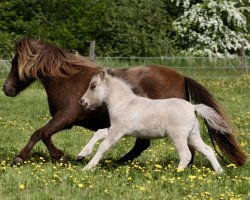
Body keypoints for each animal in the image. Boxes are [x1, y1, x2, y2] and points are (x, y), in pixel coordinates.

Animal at [1, 38, 246, 166]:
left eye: (14, 62)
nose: (6, 89)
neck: (67, 79)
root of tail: (182, 77)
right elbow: (40, 133)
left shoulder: (65, 118)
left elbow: (41, 133)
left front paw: (48, 156)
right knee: (146, 145)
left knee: (164, 147)